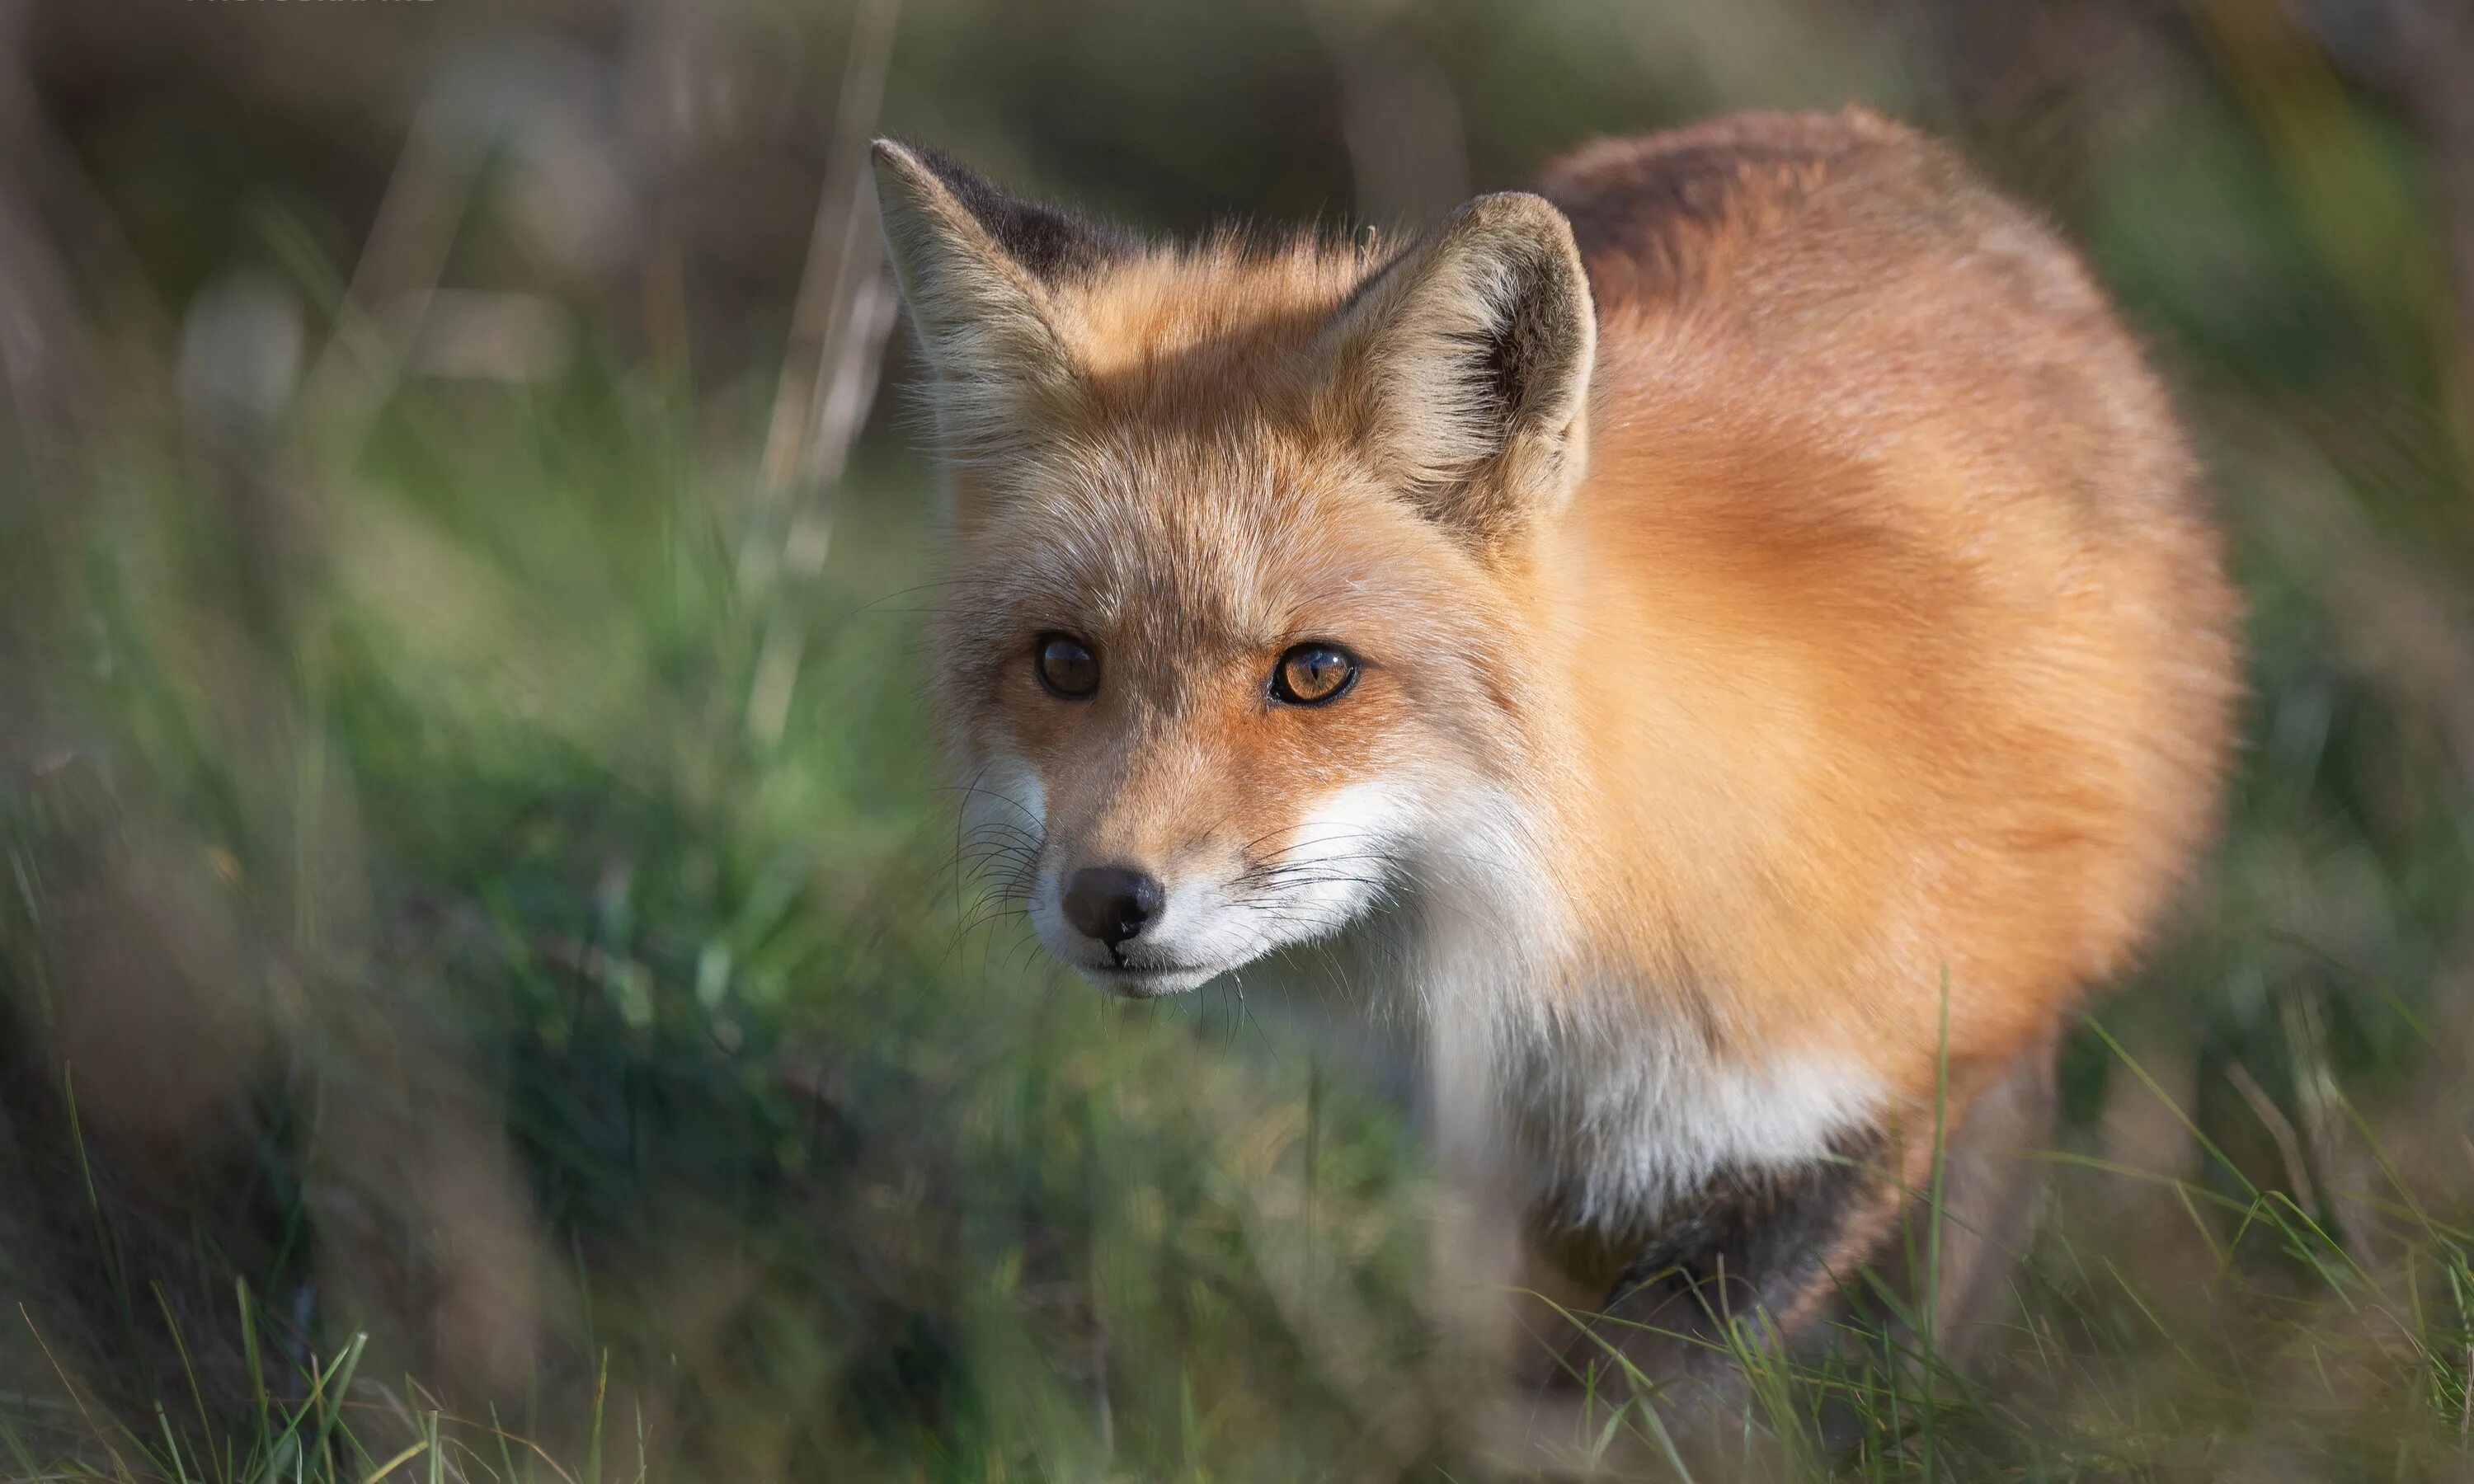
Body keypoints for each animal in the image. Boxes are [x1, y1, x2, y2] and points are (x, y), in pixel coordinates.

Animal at [871, 113, 2246, 1395]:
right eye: (1065, 664)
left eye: (1315, 674)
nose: (1108, 902)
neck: (1575, 940)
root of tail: (1864, 131)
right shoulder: (1527, 1171)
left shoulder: (1851, 1110)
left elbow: (1652, 1409)